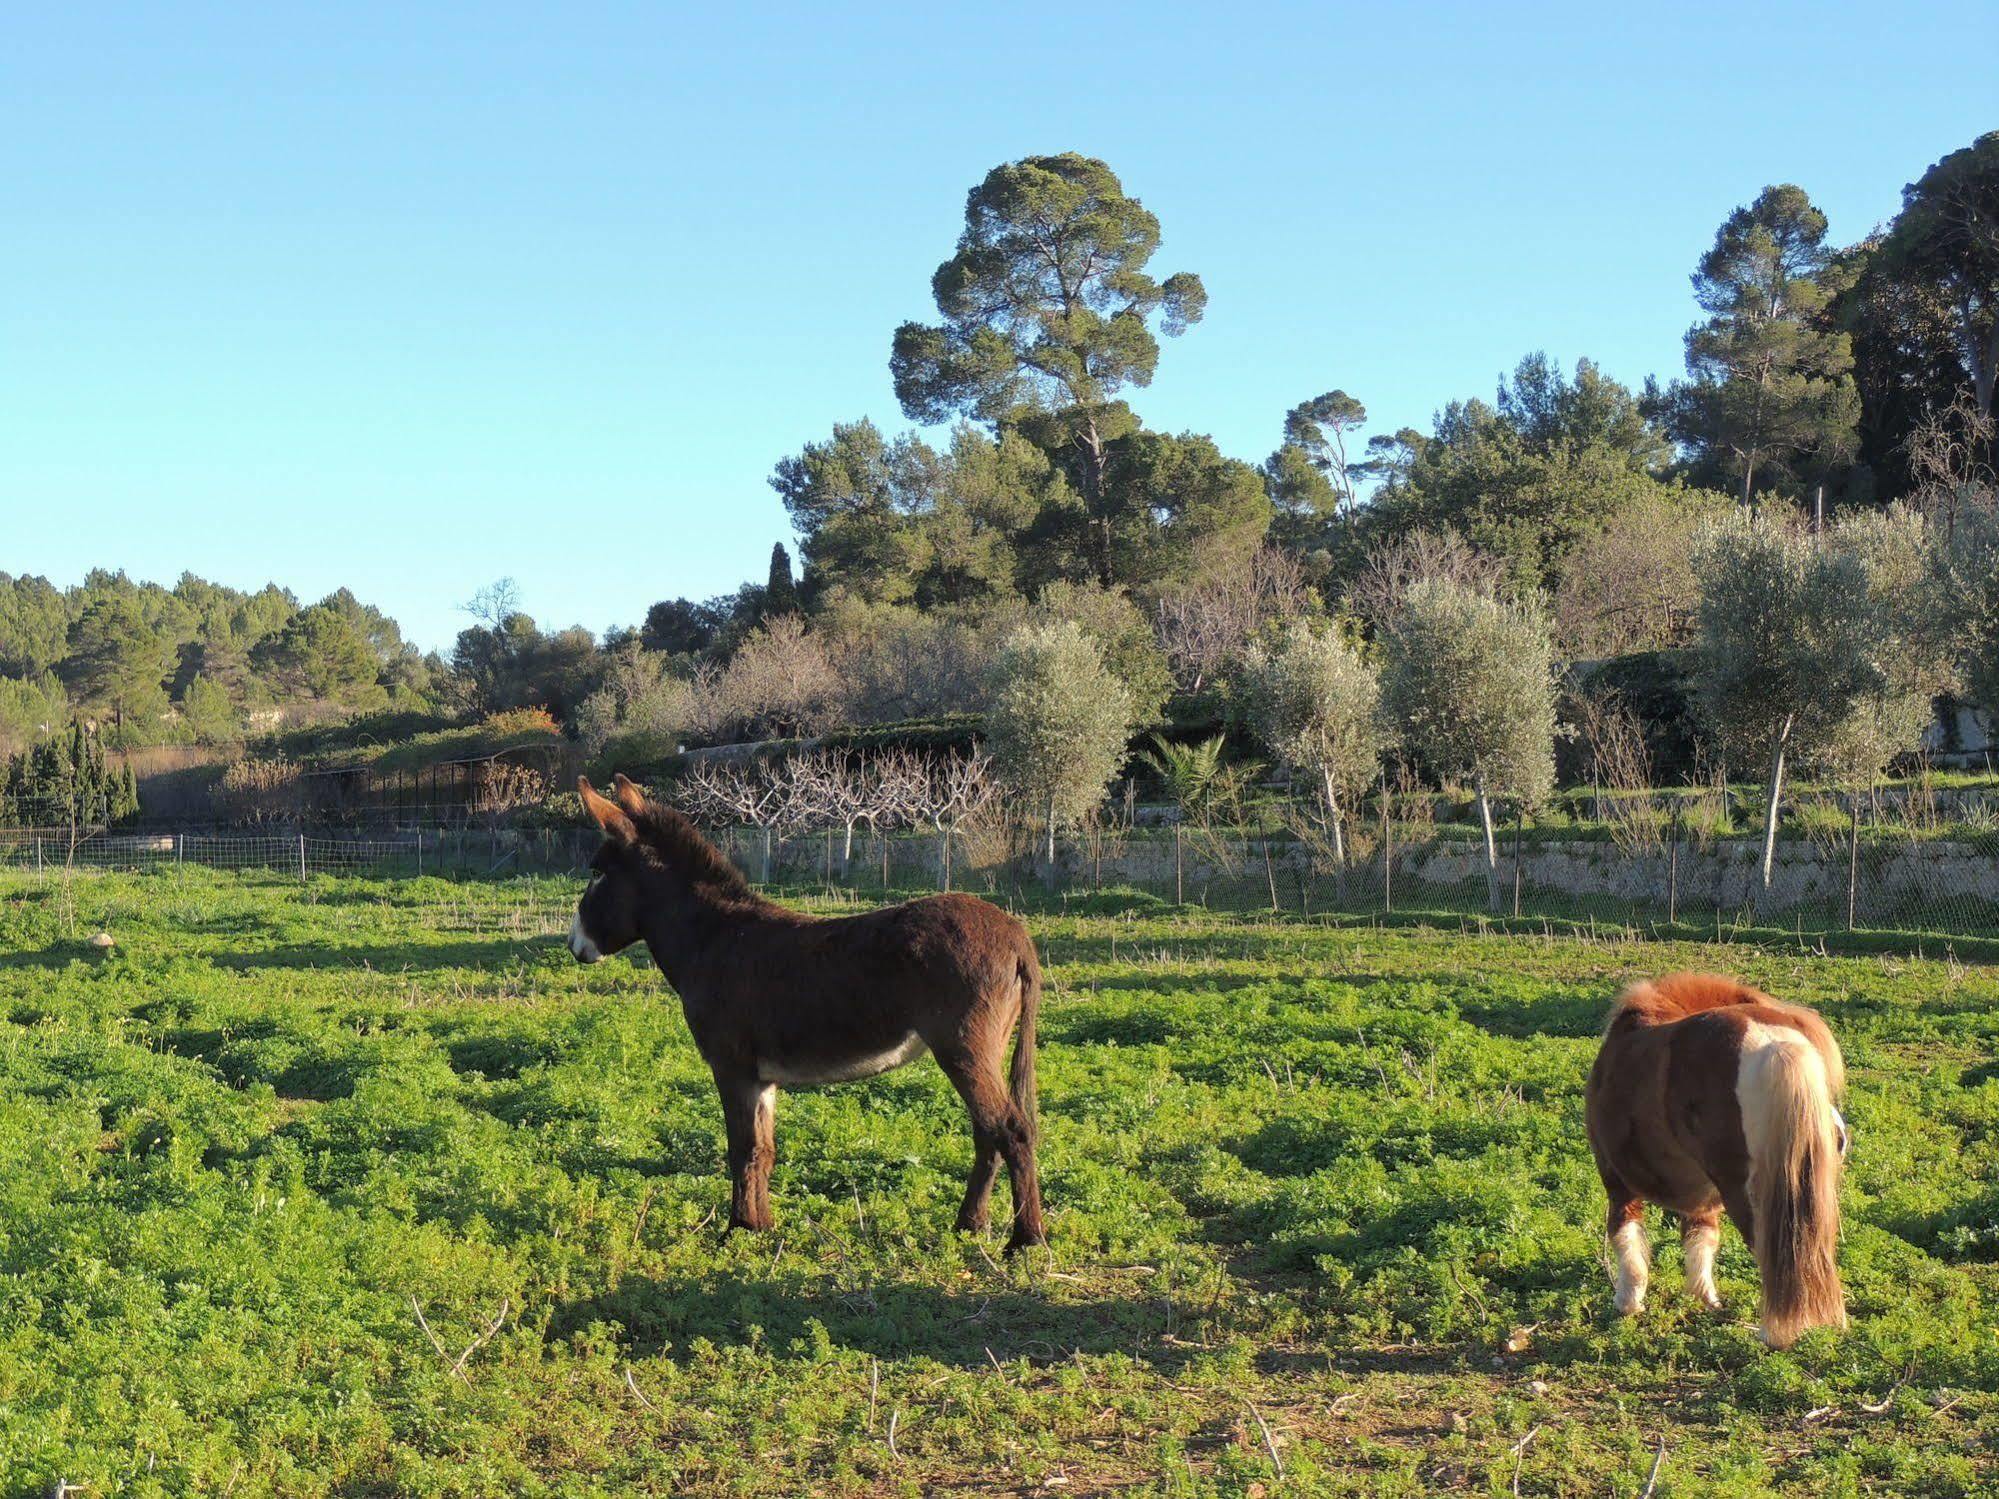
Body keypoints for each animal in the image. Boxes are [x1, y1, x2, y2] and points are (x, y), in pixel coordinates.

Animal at [575, 779, 1055, 1247]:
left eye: (597, 873)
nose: (573, 945)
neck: (712, 938)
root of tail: (1015, 933)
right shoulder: (761, 1077)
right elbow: (764, 1150)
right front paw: (763, 1229)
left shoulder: (732, 1067)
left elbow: (741, 1148)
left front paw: (736, 1232)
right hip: (982, 1049)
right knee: (987, 1131)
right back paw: (970, 1225)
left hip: (963, 1047)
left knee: (1010, 1129)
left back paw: (1026, 1239)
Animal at [1583, 975, 1847, 1351]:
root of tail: (1775, 1044)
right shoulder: (1701, 1200)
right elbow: (1701, 1240)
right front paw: (1705, 1299)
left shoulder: (1617, 1181)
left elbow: (1625, 1237)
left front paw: (1628, 1303)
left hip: (1749, 1197)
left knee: (1771, 1256)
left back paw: (1775, 1334)